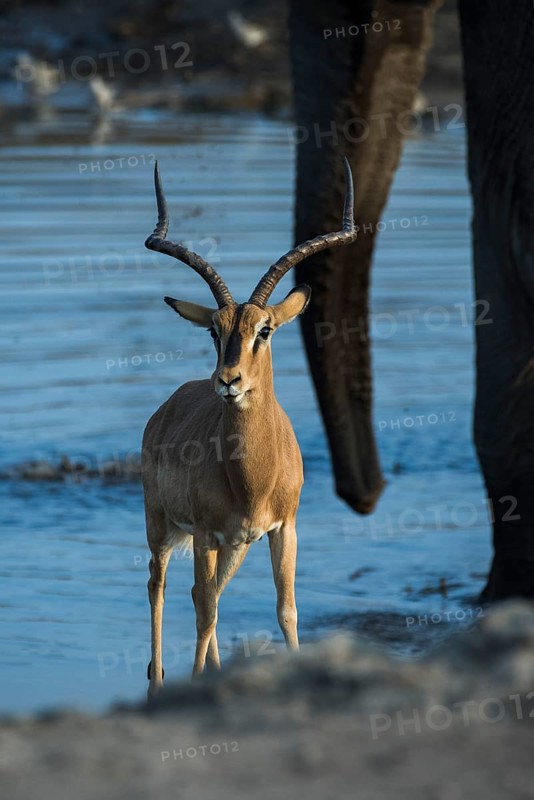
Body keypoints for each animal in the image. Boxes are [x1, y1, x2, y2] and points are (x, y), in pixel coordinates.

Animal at [142, 158, 358, 695]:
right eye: (213, 330)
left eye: (265, 329)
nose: (228, 380)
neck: (252, 477)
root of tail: (166, 407)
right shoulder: (203, 533)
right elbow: (205, 614)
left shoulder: (283, 530)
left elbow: (287, 611)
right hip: (162, 526)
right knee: (163, 585)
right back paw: (157, 682)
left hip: (234, 545)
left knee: (202, 593)